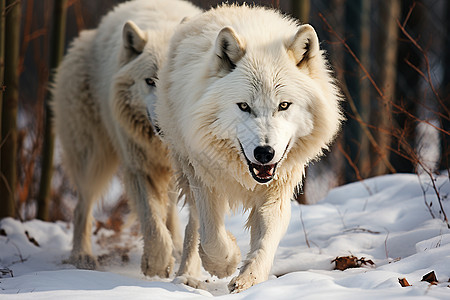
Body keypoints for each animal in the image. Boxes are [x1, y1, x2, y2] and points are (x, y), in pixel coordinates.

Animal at [155, 2, 344, 292]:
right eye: (244, 106)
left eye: (283, 105)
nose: (264, 153)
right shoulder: (204, 180)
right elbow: (211, 236)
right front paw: (226, 261)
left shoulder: (278, 189)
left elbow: (266, 238)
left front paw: (250, 279)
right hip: (187, 169)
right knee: (195, 225)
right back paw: (187, 275)